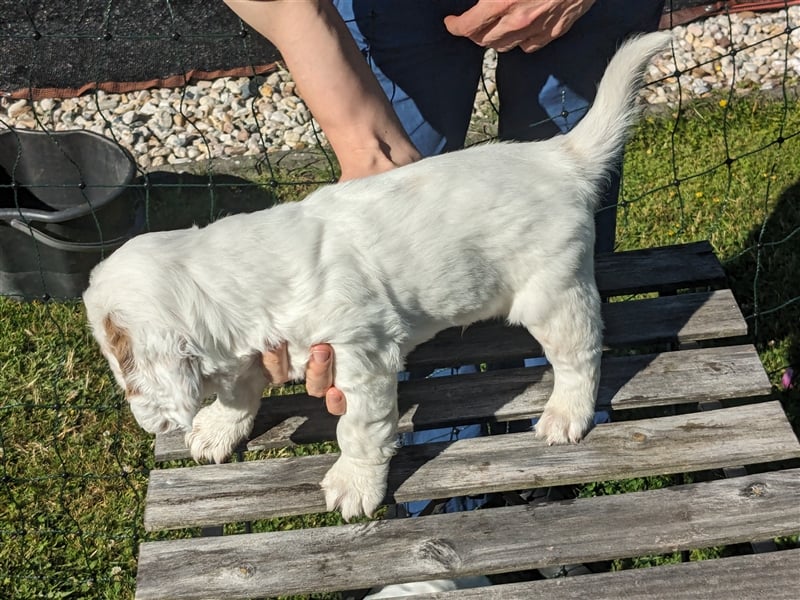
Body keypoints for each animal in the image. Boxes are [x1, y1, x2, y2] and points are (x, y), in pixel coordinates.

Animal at [83, 34, 668, 520]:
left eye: (123, 368)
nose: (149, 426)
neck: (237, 273)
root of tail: (559, 157)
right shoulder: (254, 349)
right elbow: (239, 389)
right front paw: (217, 428)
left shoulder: (359, 357)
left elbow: (358, 431)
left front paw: (353, 485)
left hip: (553, 293)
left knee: (580, 355)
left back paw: (566, 414)